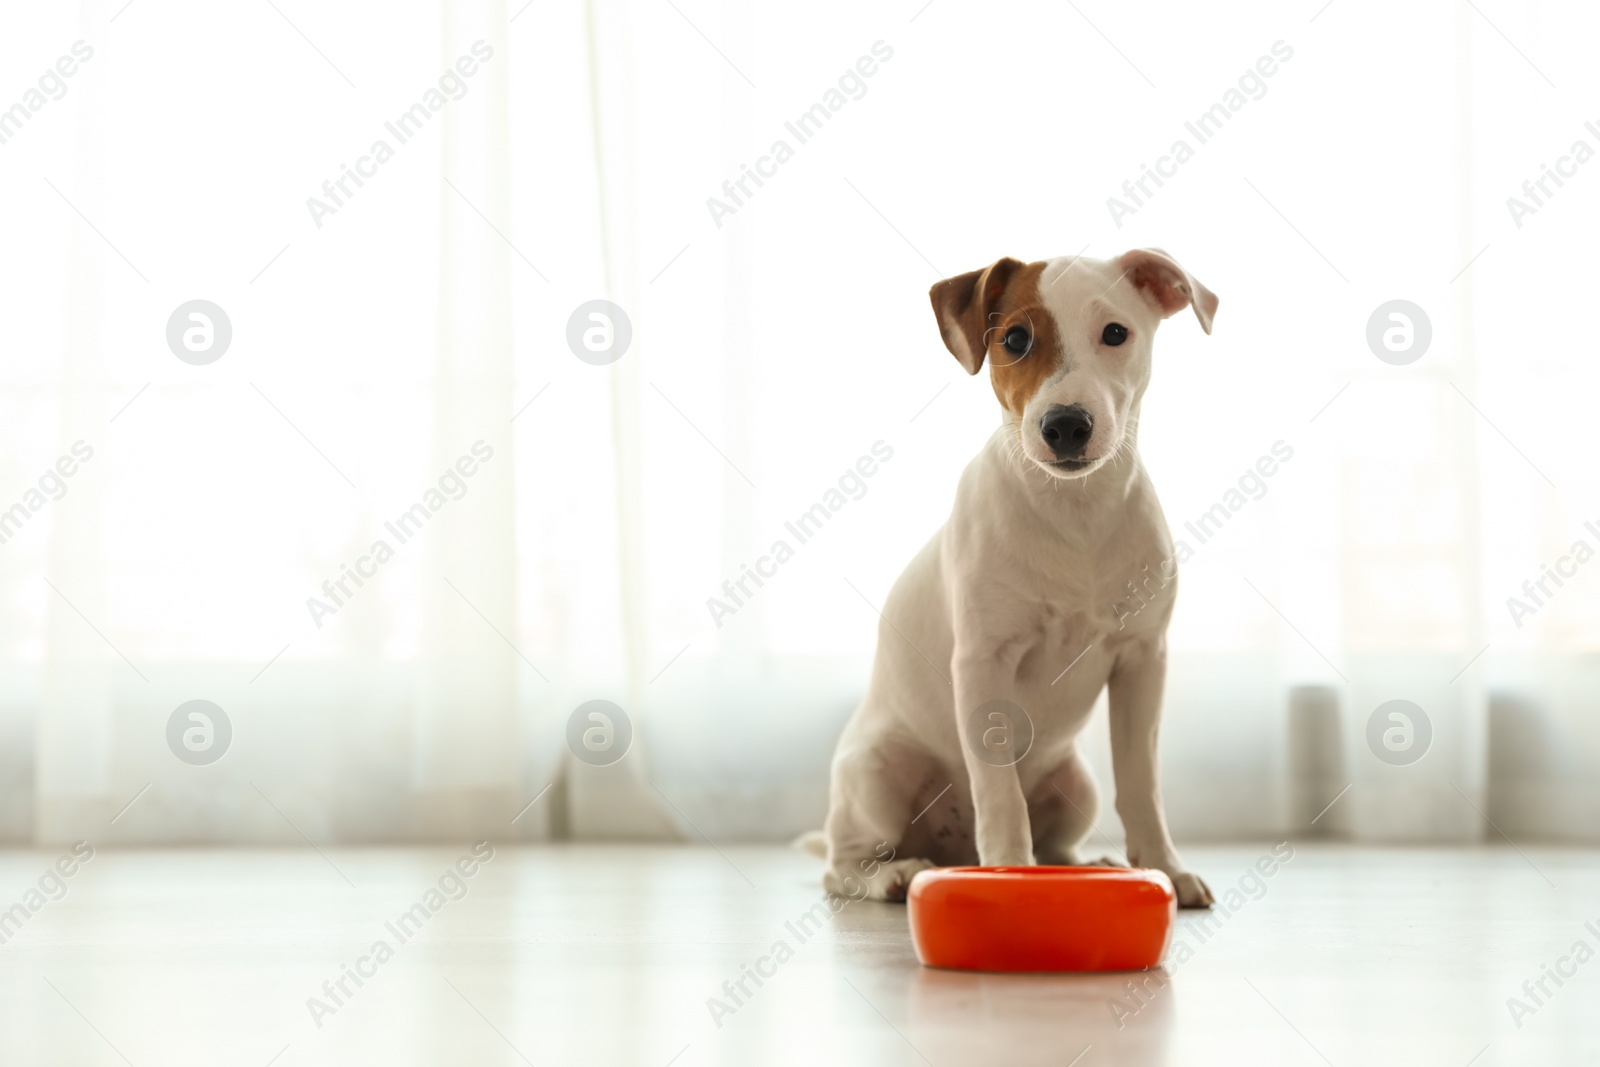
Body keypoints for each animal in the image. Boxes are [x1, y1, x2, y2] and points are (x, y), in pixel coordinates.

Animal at [812, 251, 1209, 908]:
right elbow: (1000, 795)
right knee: (845, 861)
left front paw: (1164, 868)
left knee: (1058, 848)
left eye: (1116, 333)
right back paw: (893, 873)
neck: (1075, 512)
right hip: (875, 773)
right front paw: (1005, 872)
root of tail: (950, 846)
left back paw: (1090, 866)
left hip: (1077, 782)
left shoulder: (1142, 662)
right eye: (1016, 340)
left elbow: (1141, 783)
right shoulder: (983, 663)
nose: (1066, 425)